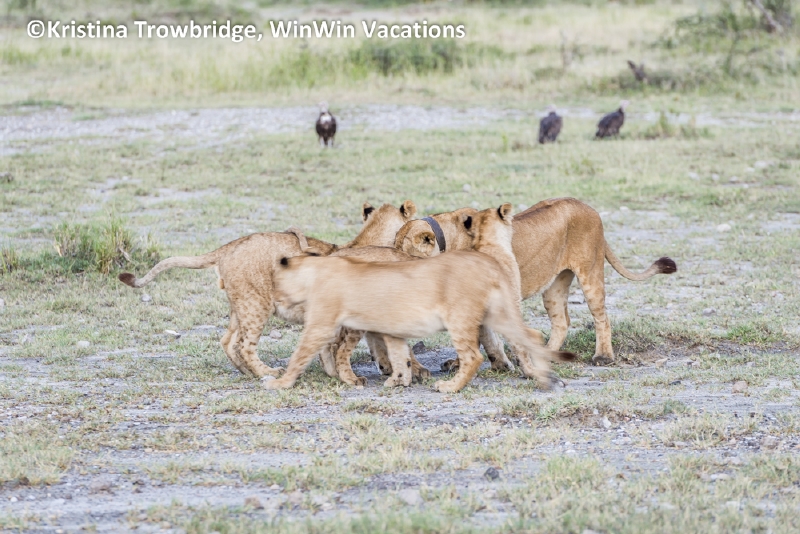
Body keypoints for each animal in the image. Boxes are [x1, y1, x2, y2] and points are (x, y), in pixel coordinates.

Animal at [118, 201, 418, 378]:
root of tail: (227, 247)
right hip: (257, 304)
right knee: (244, 345)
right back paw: (267, 372)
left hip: (241, 305)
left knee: (228, 341)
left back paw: (249, 373)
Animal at [394, 197, 676, 366]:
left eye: (403, 254)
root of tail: (588, 206)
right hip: (554, 286)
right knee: (562, 322)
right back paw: (546, 354)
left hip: (591, 272)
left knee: (601, 317)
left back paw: (602, 356)